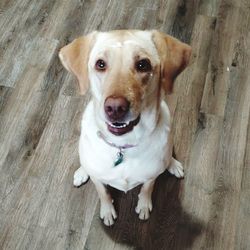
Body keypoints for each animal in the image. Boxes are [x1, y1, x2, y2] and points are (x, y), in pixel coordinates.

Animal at [58, 30, 191, 226]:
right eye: (100, 64)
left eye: (143, 64)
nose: (115, 108)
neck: (123, 145)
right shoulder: (98, 180)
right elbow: (103, 193)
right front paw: (107, 211)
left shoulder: (151, 177)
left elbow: (146, 189)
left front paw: (143, 206)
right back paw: (82, 172)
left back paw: (173, 164)